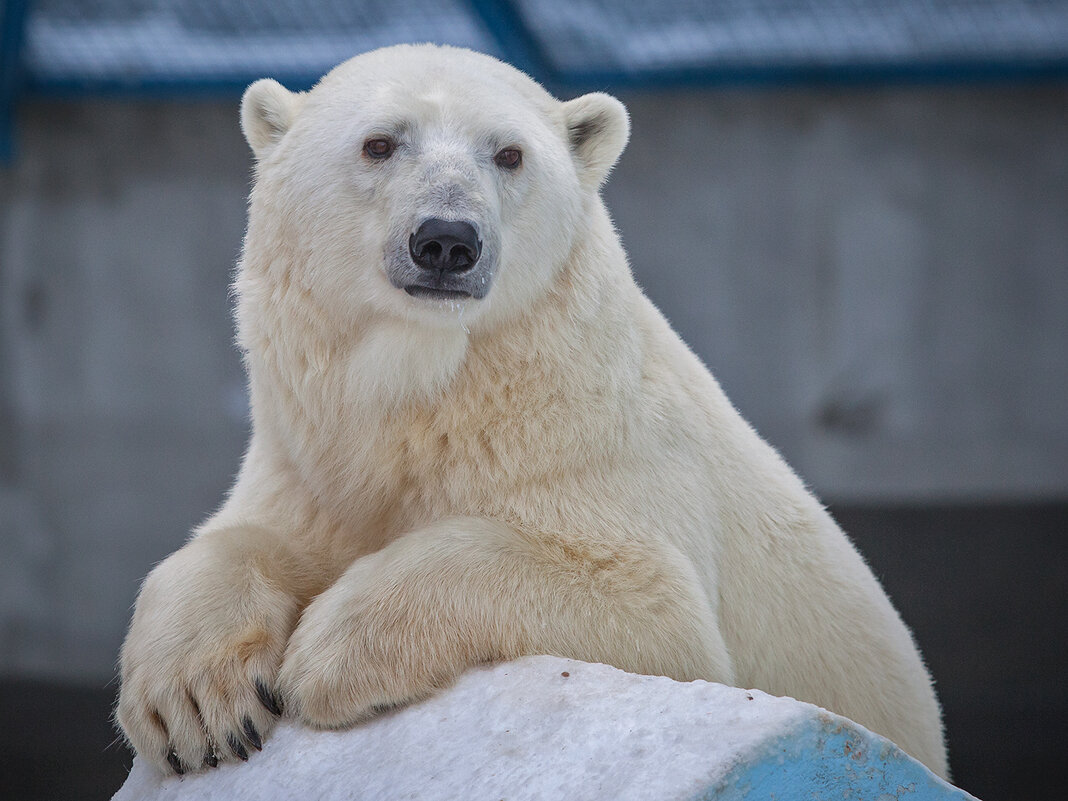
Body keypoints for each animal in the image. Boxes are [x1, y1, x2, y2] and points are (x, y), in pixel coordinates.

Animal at [116, 42, 948, 777]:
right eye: (379, 143)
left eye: (510, 154)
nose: (446, 240)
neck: (434, 391)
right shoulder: (312, 459)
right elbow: (244, 537)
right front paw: (197, 706)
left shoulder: (600, 452)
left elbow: (650, 604)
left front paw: (330, 652)